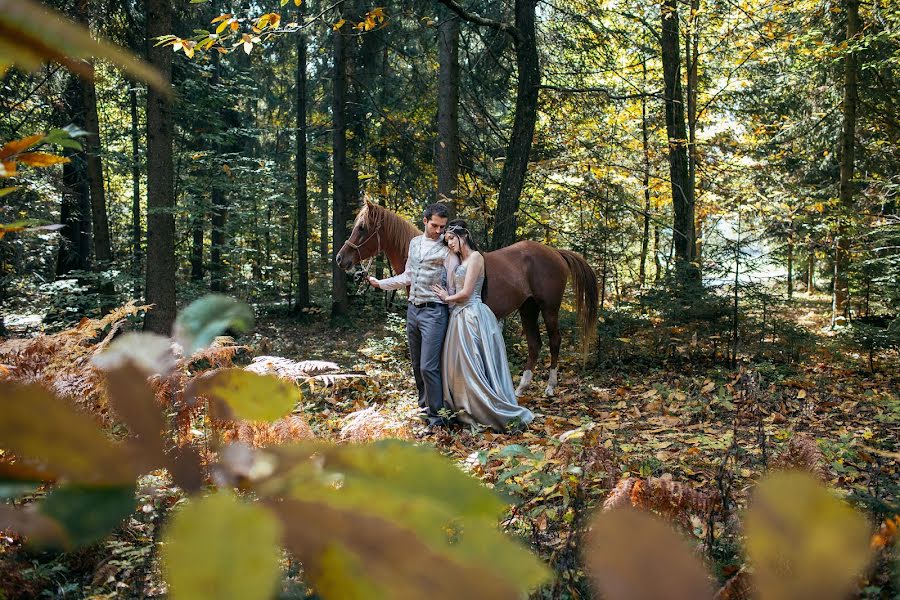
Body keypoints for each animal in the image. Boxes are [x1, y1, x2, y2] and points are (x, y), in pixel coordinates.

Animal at [332, 202, 596, 396]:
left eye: (362, 227)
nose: (340, 259)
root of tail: (555, 252)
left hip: (549, 308)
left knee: (554, 341)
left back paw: (550, 387)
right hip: (527, 308)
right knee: (534, 344)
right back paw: (521, 388)